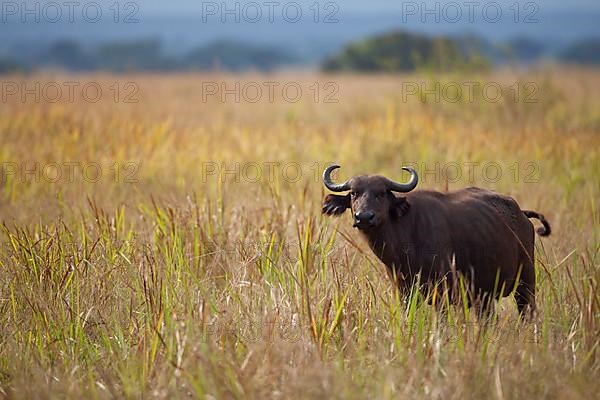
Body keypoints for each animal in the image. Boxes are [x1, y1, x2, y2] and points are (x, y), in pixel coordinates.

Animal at [322, 164, 552, 318]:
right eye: (354, 193)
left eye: (381, 193)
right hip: (485, 296)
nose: (363, 217)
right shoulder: (405, 291)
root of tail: (522, 215)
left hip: (526, 283)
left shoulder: (443, 292)